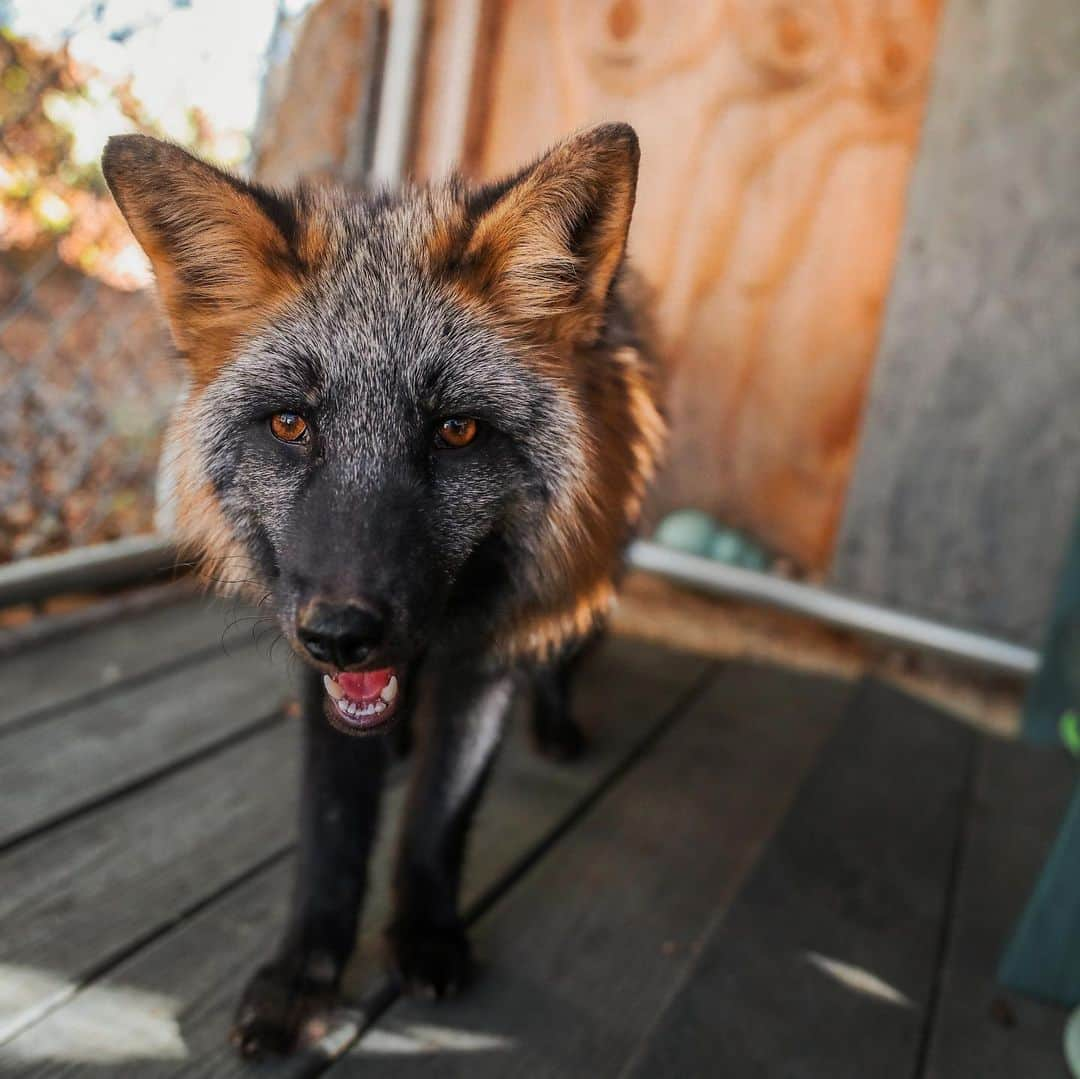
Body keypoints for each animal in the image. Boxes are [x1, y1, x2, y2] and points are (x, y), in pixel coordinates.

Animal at [105, 122, 669, 1058]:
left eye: (458, 430)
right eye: (291, 424)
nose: (341, 631)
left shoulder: (488, 655)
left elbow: (440, 816)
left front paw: (426, 933)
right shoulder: (322, 676)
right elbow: (333, 834)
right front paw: (303, 978)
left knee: (566, 646)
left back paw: (555, 722)